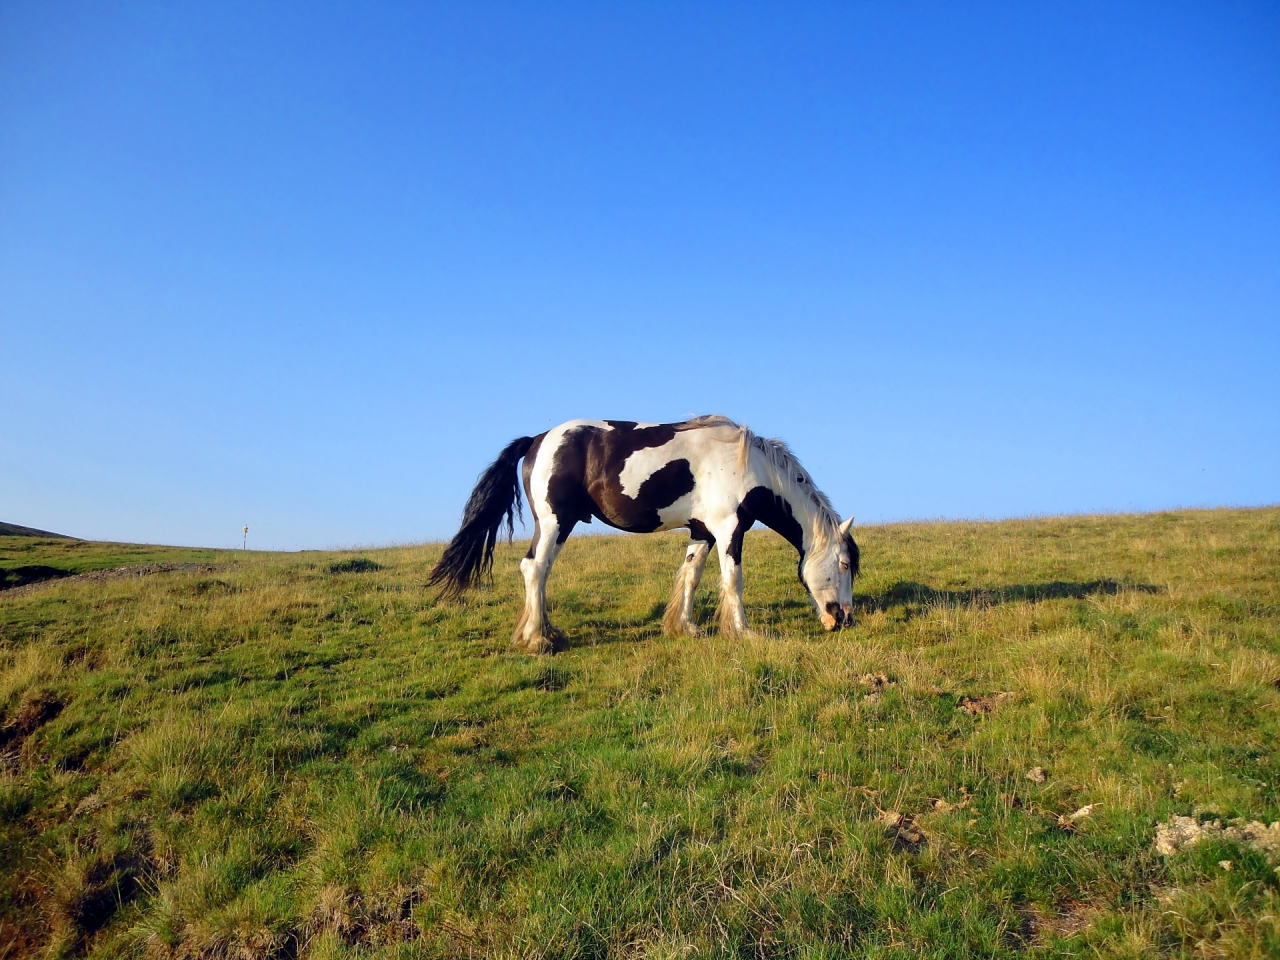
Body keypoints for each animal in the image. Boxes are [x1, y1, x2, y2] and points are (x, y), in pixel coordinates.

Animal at [430, 417, 860, 660]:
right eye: (843, 564)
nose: (843, 619)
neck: (749, 466)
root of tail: (538, 439)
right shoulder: (729, 529)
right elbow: (733, 580)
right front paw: (743, 632)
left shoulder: (702, 532)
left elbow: (691, 577)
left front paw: (685, 628)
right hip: (554, 523)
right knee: (534, 568)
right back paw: (537, 640)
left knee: (541, 572)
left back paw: (546, 631)